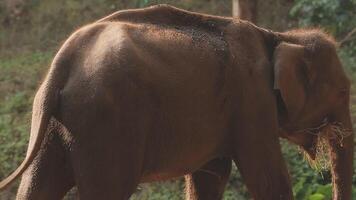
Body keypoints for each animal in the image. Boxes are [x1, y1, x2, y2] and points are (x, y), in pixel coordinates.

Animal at [0, 4, 354, 200]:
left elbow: (210, 177)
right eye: (342, 92)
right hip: (104, 122)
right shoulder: (253, 99)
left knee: (37, 186)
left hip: (55, 122)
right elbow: (268, 180)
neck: (280, 36)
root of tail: (63, 61)